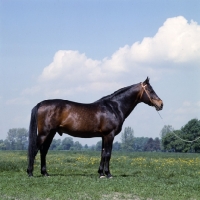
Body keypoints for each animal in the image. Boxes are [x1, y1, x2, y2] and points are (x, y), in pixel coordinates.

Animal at [27, 77, 163, 178]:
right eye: (150, 90)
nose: (161, 104)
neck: (113, 107)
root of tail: (41, 104)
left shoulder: (104, 136)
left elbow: (102, 153)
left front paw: (101, 173)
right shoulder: (109, 135)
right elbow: (108, 154)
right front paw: (108, 174)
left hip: (51, 133)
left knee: (43, 151)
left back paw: (45, 173)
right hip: (45, 133)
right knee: (35, 150)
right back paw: (30, 173)